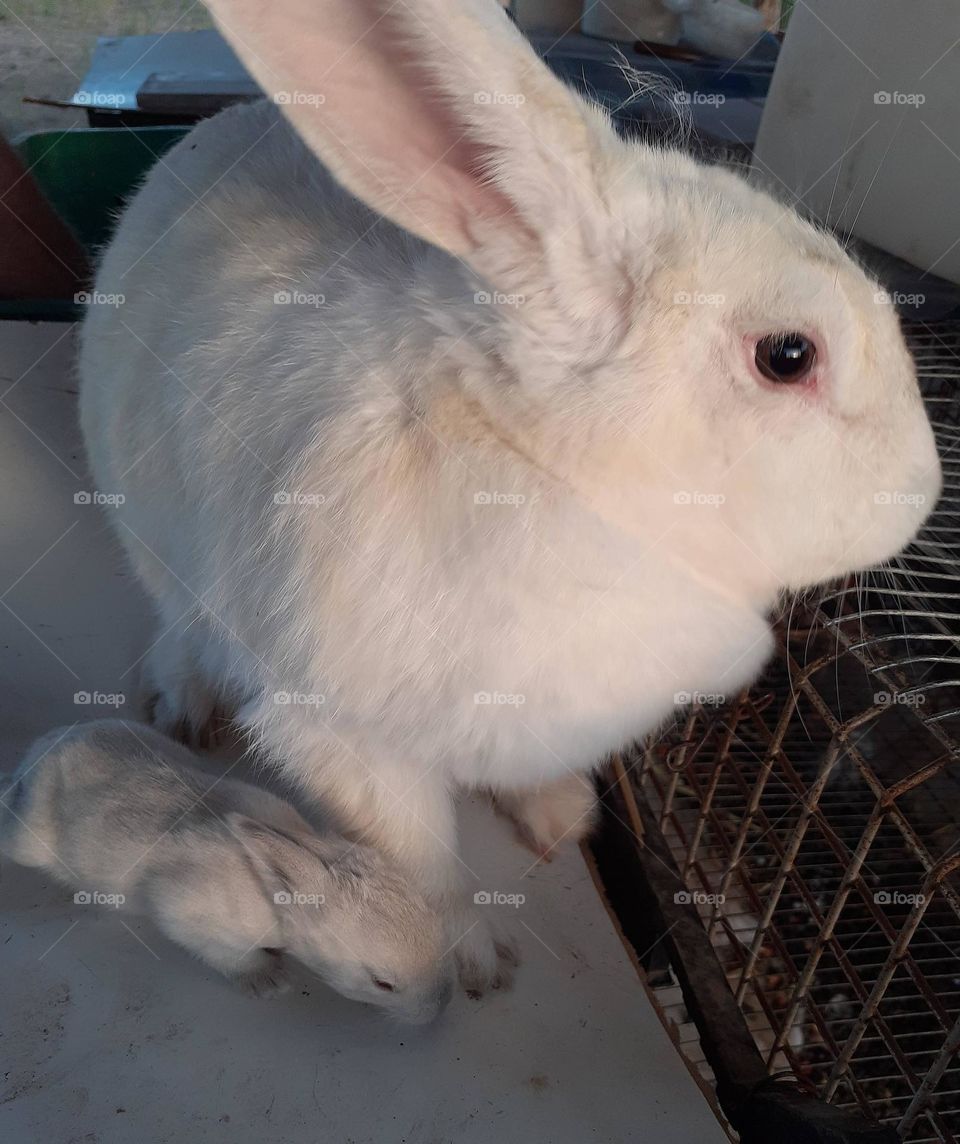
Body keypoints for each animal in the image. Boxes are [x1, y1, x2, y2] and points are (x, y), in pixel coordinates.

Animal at [0, 721, 453, 1023]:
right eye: (382, 984)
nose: (439, 1007)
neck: (277, 898)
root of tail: (43, 750)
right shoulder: (186, 914)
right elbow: (227, 953)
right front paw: (269, 982)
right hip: (27, 841)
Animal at [76, 0, 941, 995]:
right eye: (789, 355)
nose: (924, 490)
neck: (551, 471)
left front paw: (566, 820)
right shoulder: (345, 741)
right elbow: (419, 857)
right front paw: (473, 963)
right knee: (180, 622)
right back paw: (180, 702)